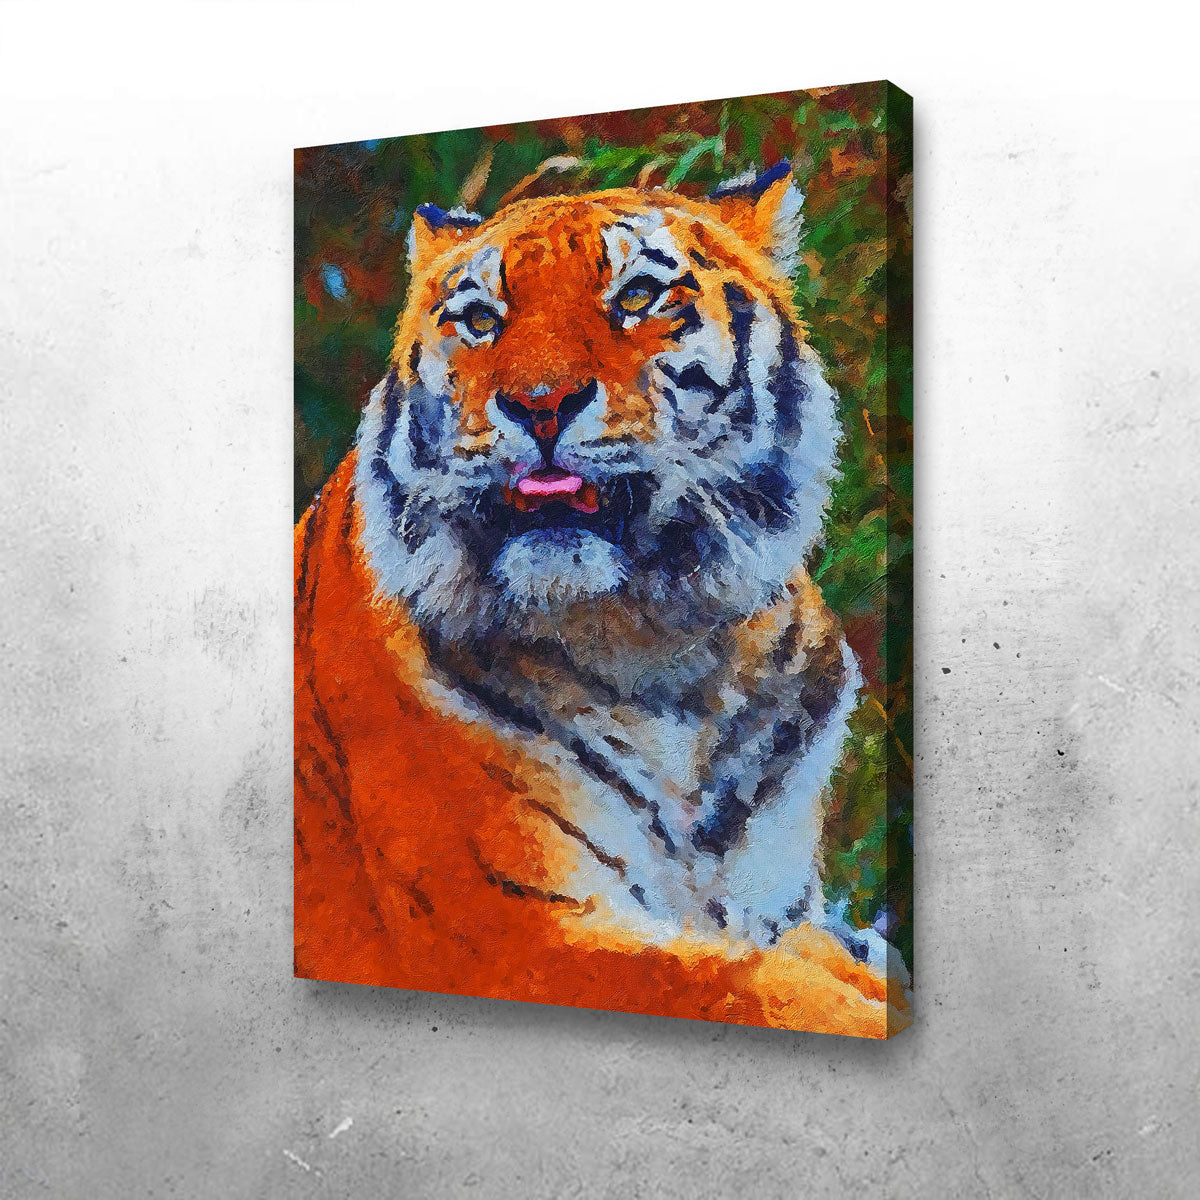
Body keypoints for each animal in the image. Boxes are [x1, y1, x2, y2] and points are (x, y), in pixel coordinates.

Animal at [294, 161, 910, 1037]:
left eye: (638, 296)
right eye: (480, 319)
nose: (540, 402)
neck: (660, 646)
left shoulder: (777, 909)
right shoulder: (519, 933)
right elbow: (762, 989)